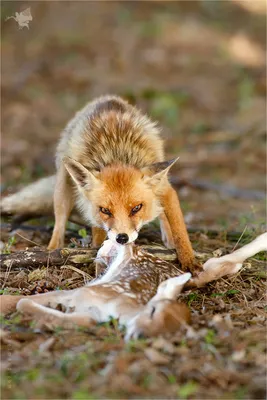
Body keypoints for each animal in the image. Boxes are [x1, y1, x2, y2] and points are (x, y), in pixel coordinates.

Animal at [0, 94, 197, 270]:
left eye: (136, 208)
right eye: (105, 210)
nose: (122, 238)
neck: (117, 156)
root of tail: (106, 98)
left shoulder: (166, 190)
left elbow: (180, 229)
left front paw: (189, 260)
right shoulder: (93, 211)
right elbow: (99, 236)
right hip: (63, 189)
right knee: (60, 223)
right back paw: (51, 251)